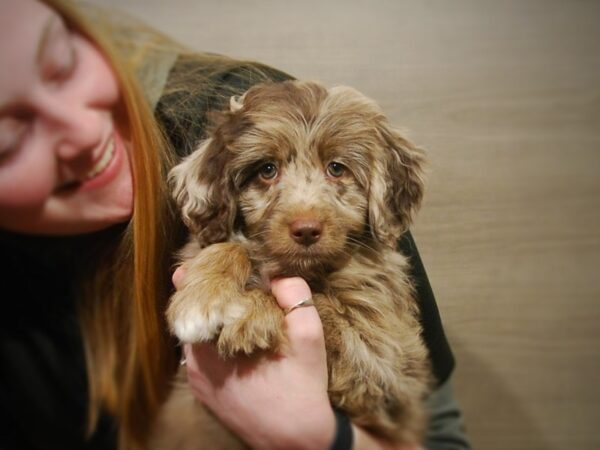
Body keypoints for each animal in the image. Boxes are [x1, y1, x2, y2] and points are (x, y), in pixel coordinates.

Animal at [150, 81, 432, 450]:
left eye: (336, 168)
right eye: (267, 170)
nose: (306, 229)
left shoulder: (380, 364)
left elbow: (326, 308)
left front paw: (252, 313)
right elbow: (232, 247)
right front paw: (203, 297)